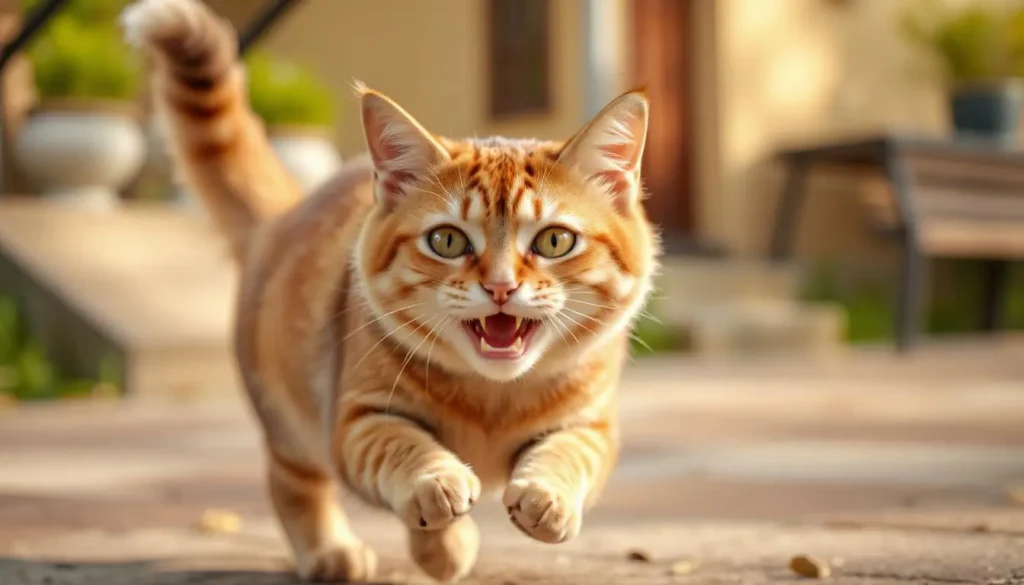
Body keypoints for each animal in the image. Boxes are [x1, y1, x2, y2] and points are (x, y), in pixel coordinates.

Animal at [121, 0, 663, 581]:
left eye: (554, 240)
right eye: (447, 240)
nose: (500, 286)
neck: (491, 402)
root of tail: (287, 213)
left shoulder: (593, 424)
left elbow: (569, 453)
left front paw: (543, 498)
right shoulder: (357, 421)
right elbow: (404, 450)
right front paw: (440, 508)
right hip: (290, 424)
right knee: (292, 484)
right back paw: (333, 550)